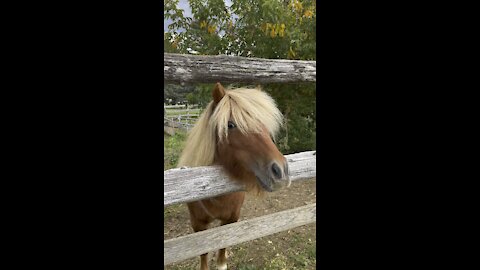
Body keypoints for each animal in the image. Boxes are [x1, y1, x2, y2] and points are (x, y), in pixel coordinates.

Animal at [176, 83, 288, 270]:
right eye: (230, 125)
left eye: (264, 124)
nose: (281, 171)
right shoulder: (198, 225)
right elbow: (203, 252)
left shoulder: (232, 218)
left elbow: (223, 246)